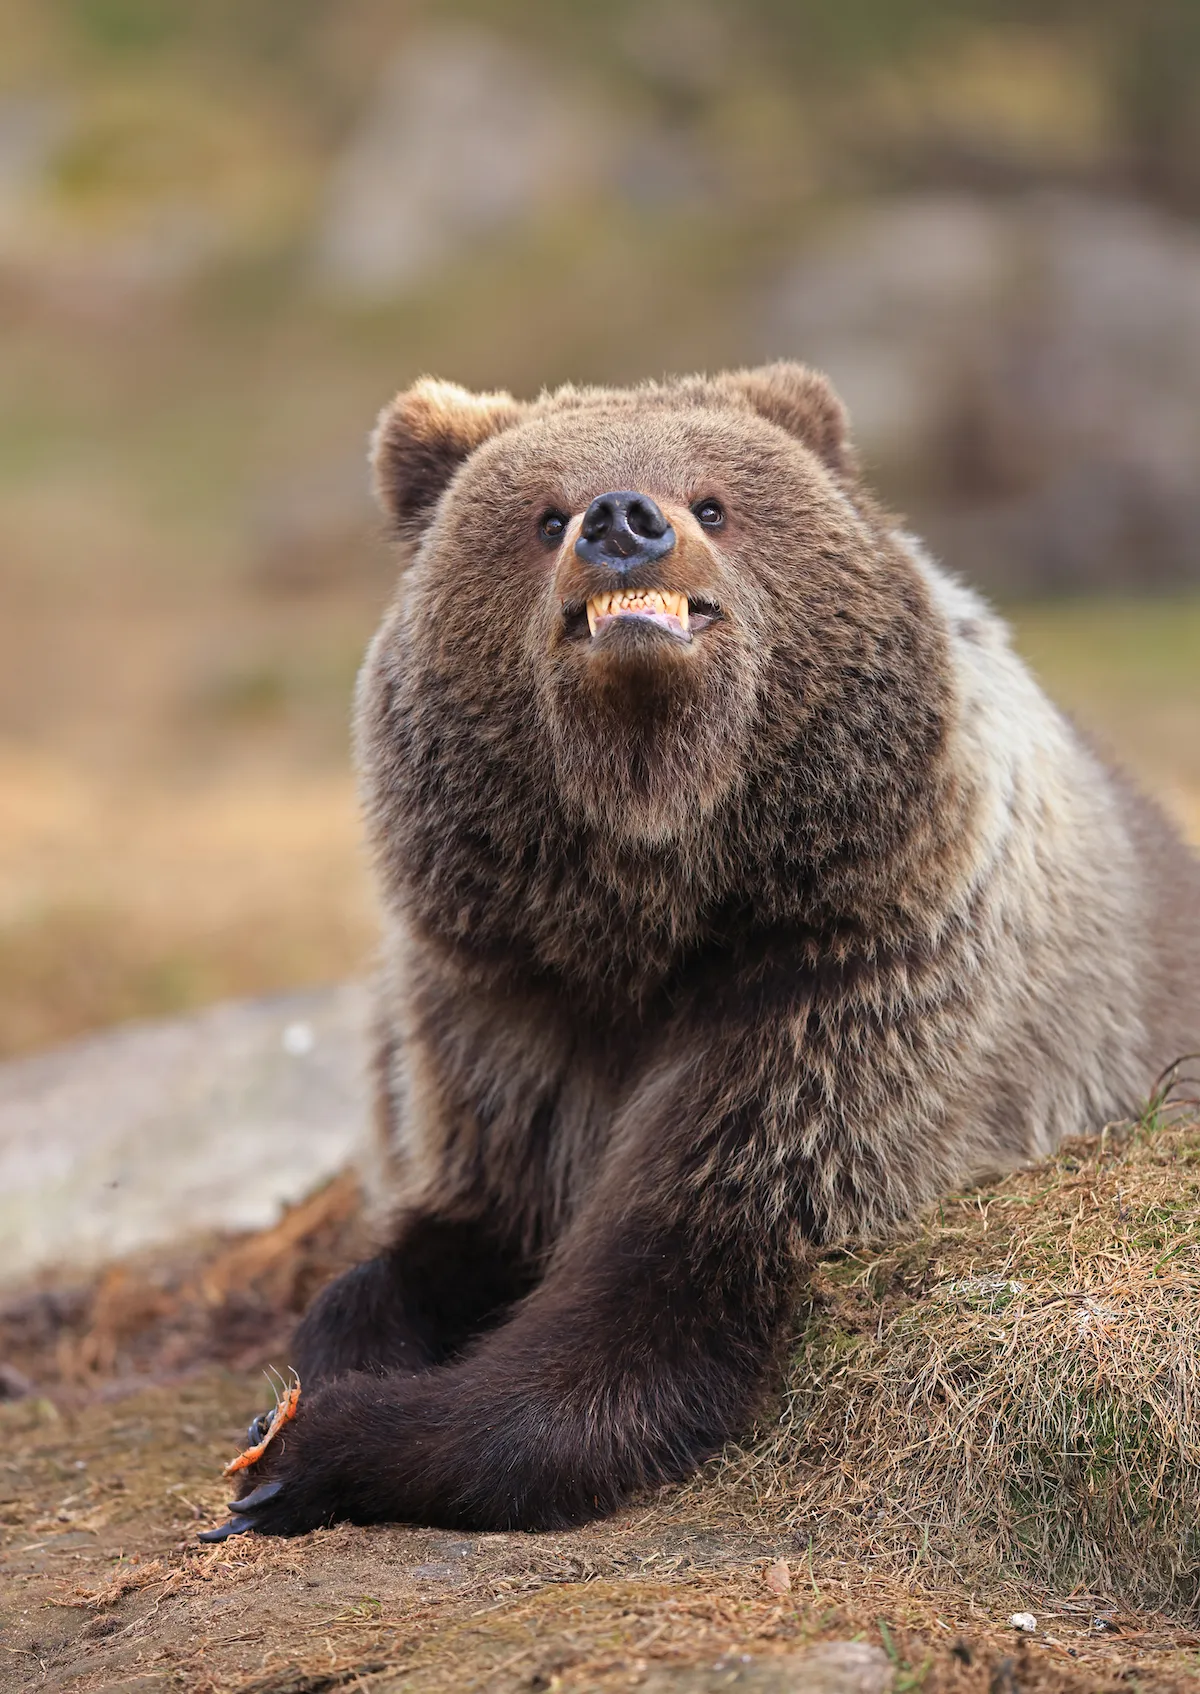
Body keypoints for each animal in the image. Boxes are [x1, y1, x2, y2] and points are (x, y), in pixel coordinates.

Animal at [201, 363, 1200, 1541]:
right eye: (544, 515)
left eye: (715, 502)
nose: (623, 520)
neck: (662, 909)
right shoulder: (501, 1010)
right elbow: (455, 1231)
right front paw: (326, 1365)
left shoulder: (845, 996)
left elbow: (647, 1309)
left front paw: (312, 1450)